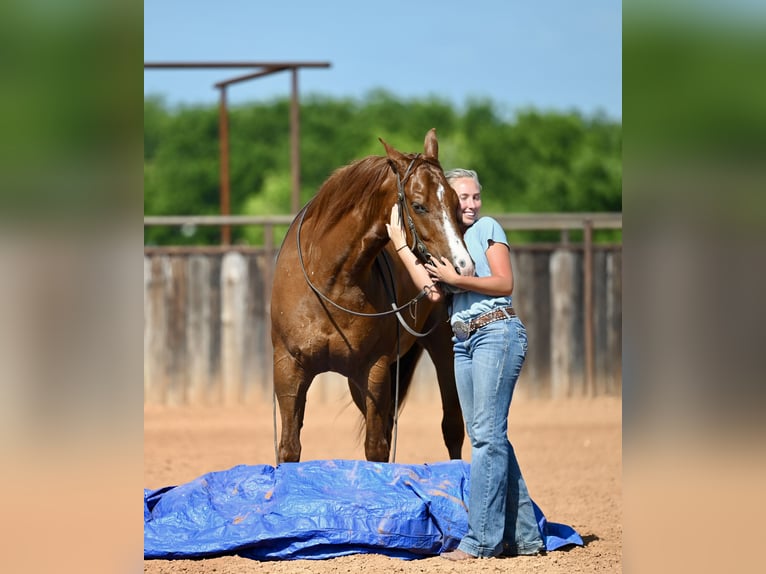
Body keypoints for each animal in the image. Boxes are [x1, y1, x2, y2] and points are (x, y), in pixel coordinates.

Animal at [270, 128, 474, 463]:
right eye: (419, 205)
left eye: (457, 203)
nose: (463, 267)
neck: (329, 281)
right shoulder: (289, 369)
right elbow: (289, 448)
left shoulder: (374, 371)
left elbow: (376, 448)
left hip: (442, 346)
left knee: (452, 426)